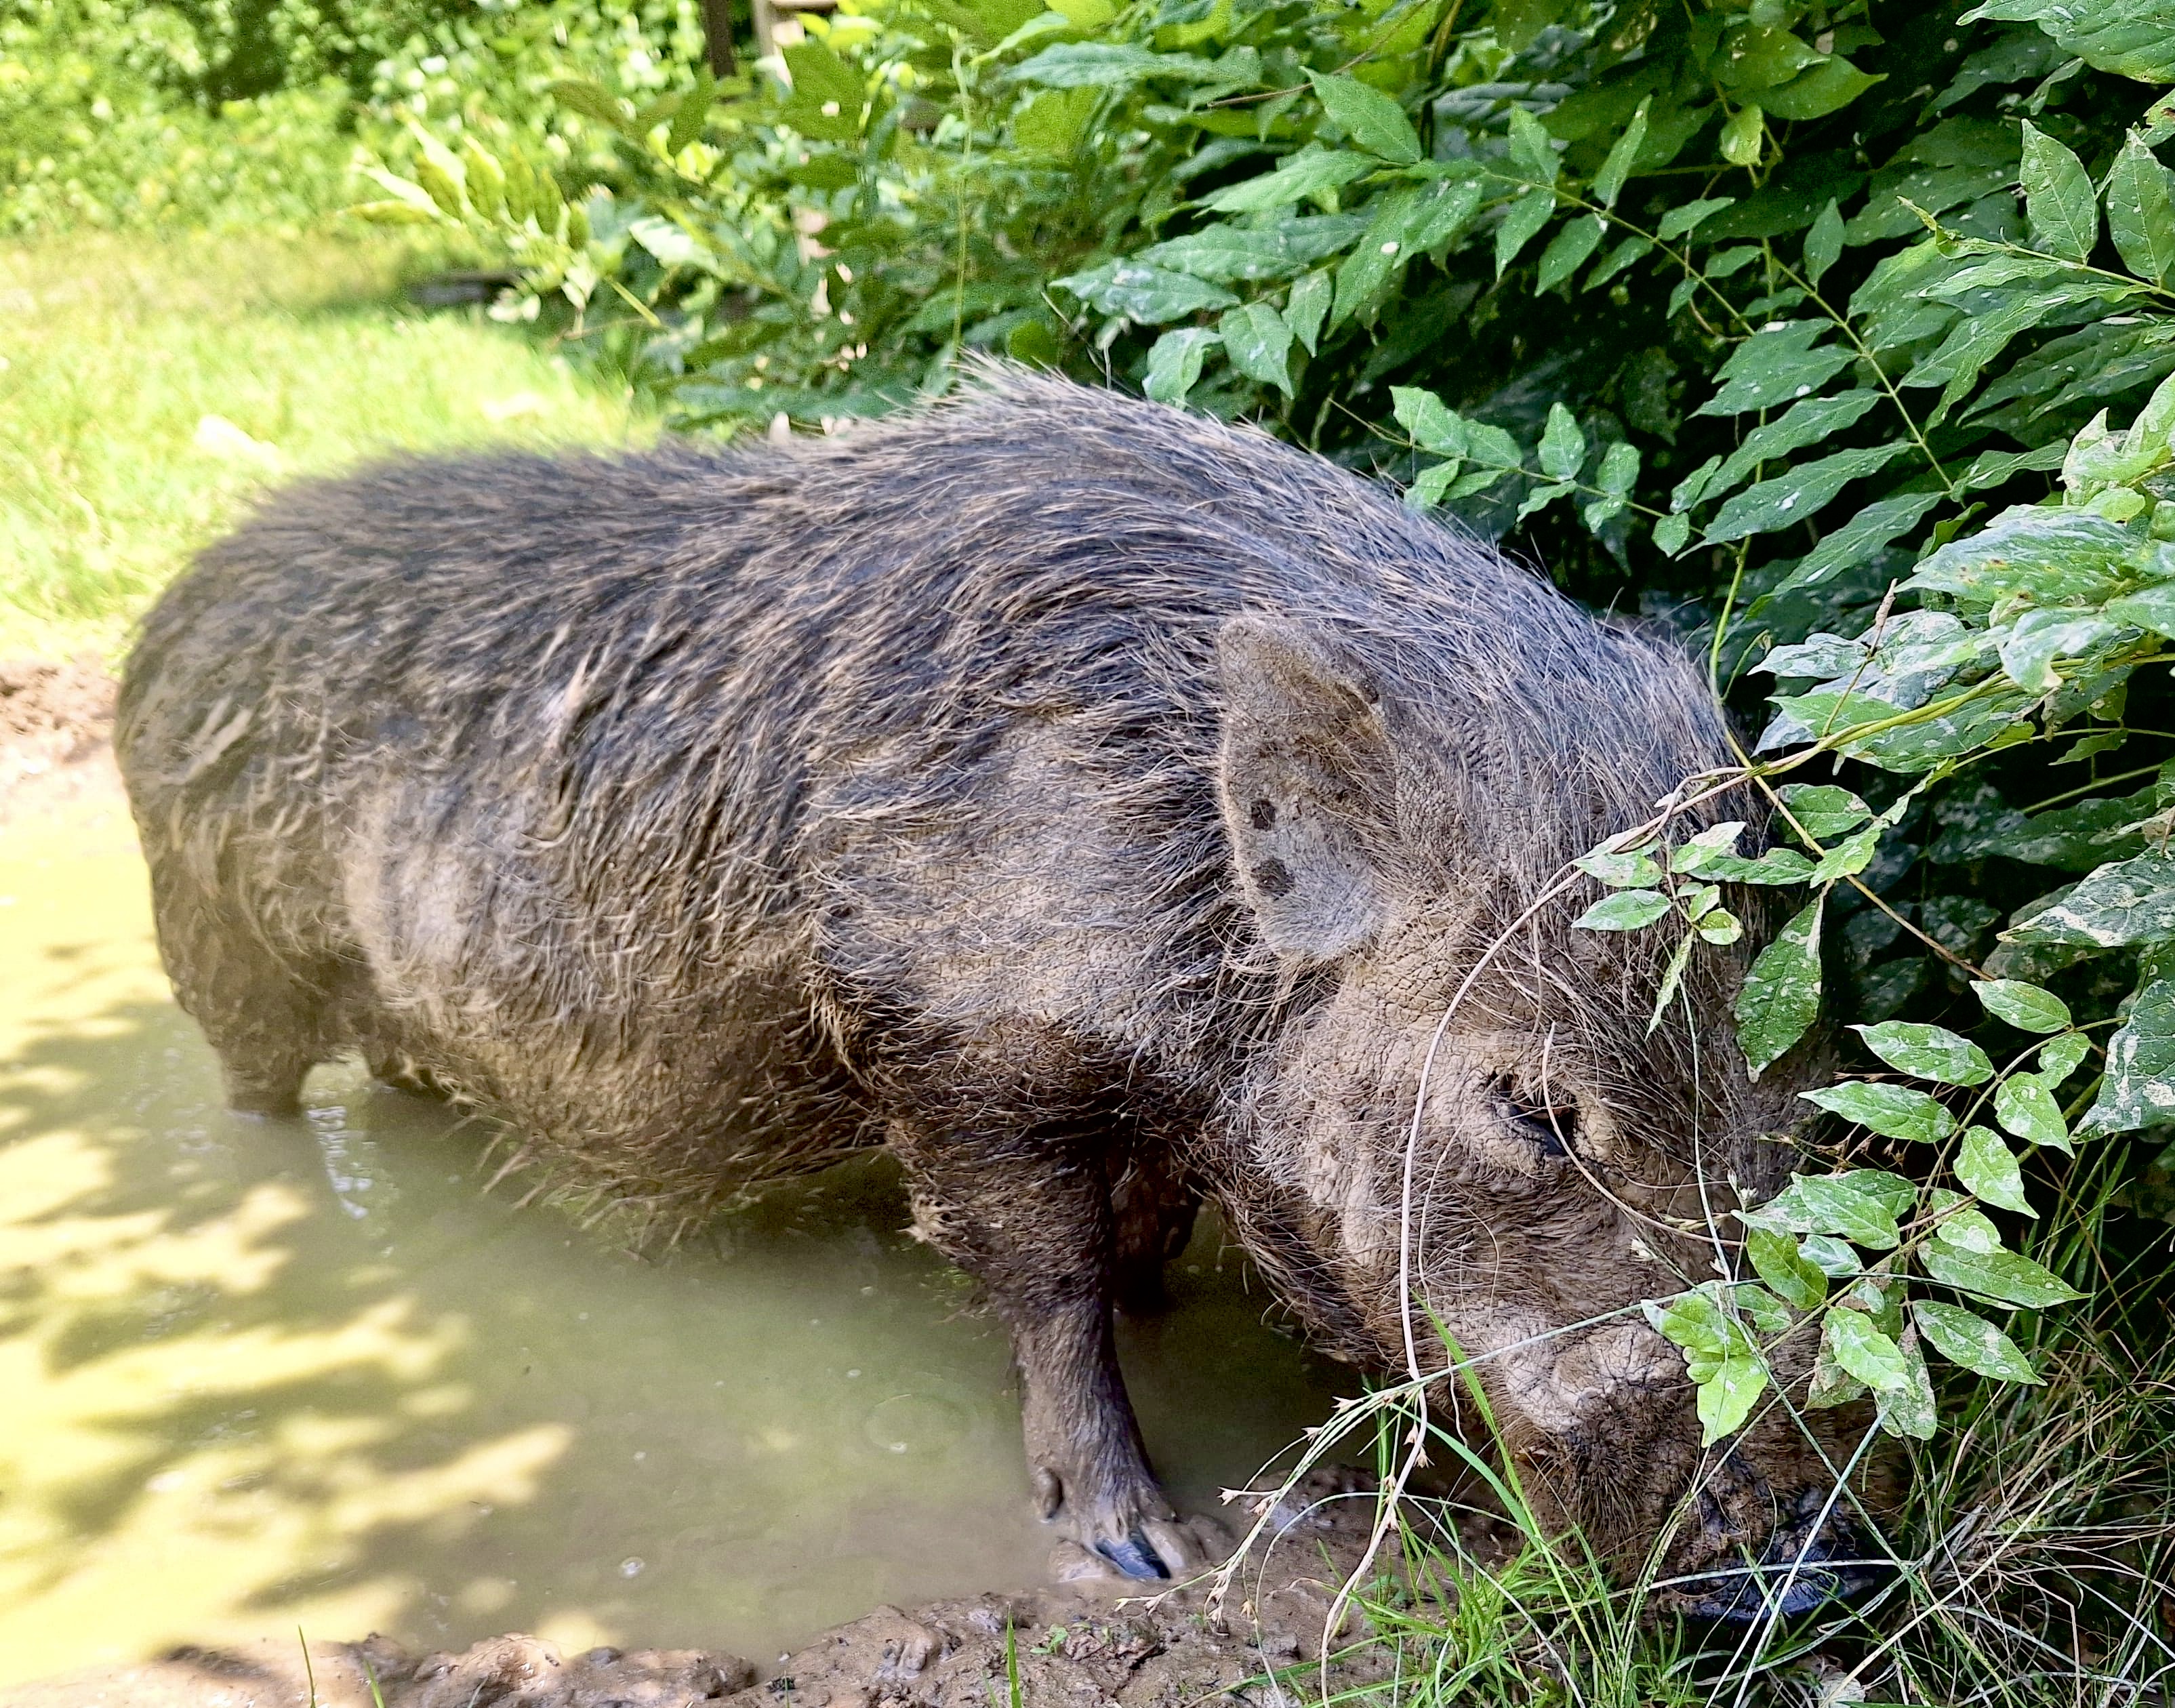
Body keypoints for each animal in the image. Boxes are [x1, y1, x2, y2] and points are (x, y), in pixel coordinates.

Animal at [115, 369, 1878, 1612]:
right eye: (1531, 1107)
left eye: (1789, 1097)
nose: (1804, 1565)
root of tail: (177, 597)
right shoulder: (944, 1041)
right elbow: (1048, 1286)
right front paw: (1145, 1551)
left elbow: (1136, 1233)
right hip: (212, 937)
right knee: (254, 1094)